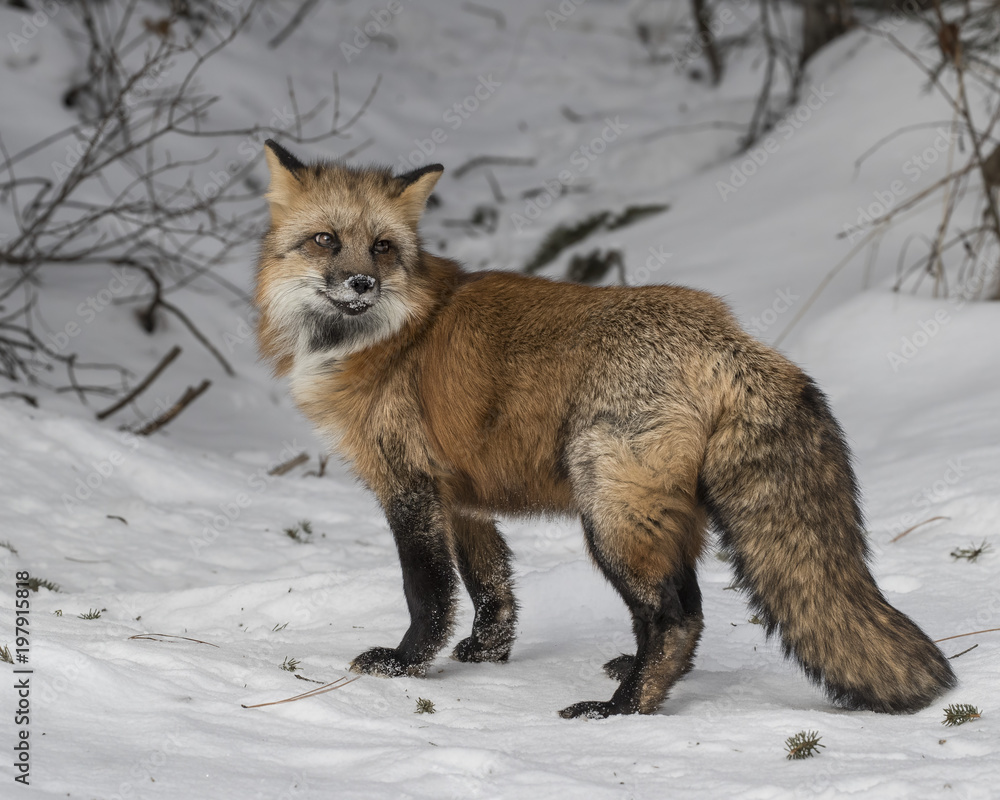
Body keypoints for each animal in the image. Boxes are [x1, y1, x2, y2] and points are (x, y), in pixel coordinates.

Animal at [253, 139, 956, 718]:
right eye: (324, 240)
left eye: (382, 247)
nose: (361, 282)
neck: (383, 335)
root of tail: (729, 335)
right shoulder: (461, 496)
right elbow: (490, 586)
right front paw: (488, 654)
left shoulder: (409, 486)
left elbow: (427, 593)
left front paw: (404, 665)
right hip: (659, 517)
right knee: (689, 610)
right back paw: (638, 680)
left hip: (611, 517)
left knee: (675, 617)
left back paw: (622, 709)